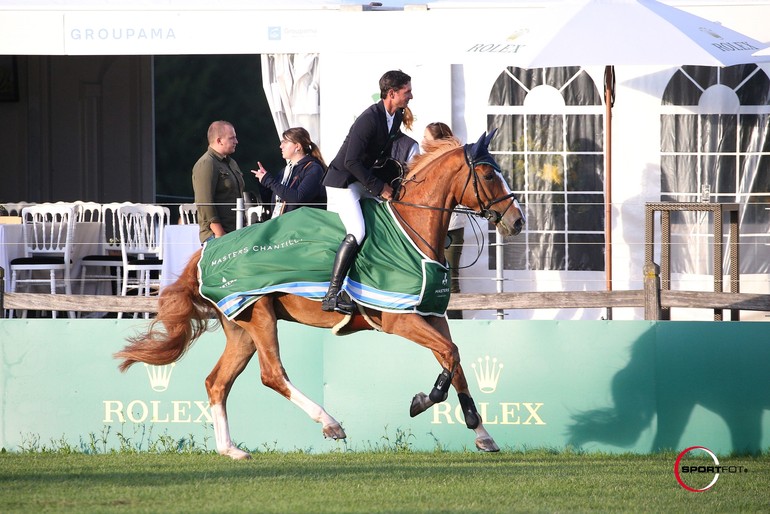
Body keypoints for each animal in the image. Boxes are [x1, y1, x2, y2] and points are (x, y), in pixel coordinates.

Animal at [115, 130, 520, 458]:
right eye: (488, 175)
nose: (517, 222)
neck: (412, 229)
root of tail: (207, 251)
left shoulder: (433, 317)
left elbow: (455, 361)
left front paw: (481, 433)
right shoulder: (399, 320)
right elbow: (450, 357)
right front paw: (423, 401)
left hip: (241, 328)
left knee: (217, 383)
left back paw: (231, 450)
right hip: (260, 317)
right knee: (272, 374)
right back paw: (329, 423)